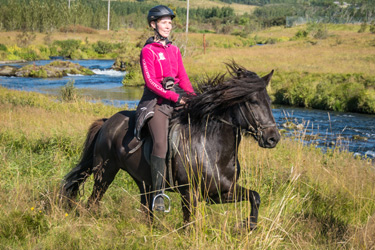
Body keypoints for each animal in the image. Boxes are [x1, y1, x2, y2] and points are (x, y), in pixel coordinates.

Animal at [60, 62, 280, 230]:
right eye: (252, 101)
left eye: (269, 101)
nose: (273, 138)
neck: (211, 150)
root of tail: (107, 122)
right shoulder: (189, 193)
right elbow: (189, 224)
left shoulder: (220, 193)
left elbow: (255, 196)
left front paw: (248, 226)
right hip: (105, 172)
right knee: (93, 200)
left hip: (144, 182)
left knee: (146, 209)